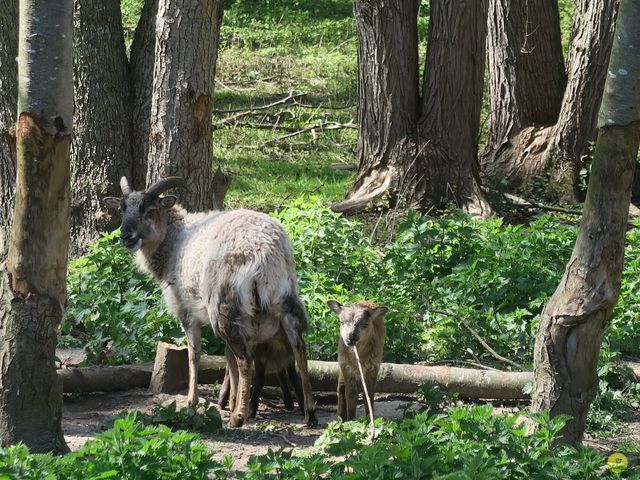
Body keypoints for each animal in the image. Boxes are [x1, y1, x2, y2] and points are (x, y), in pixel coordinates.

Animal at [103, 176, 320, 428]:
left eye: (149, 210)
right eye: (121, 210)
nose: (126, 237)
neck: (173, 240)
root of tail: (264, 252)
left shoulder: (185, 310)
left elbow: (194, 353)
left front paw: (193, 402)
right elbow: (227, 359)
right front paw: (232, 400)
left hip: (225, 305)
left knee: (246, 359)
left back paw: (238, 418)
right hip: (285, 299)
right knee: (299, 349)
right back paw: (310, 413)